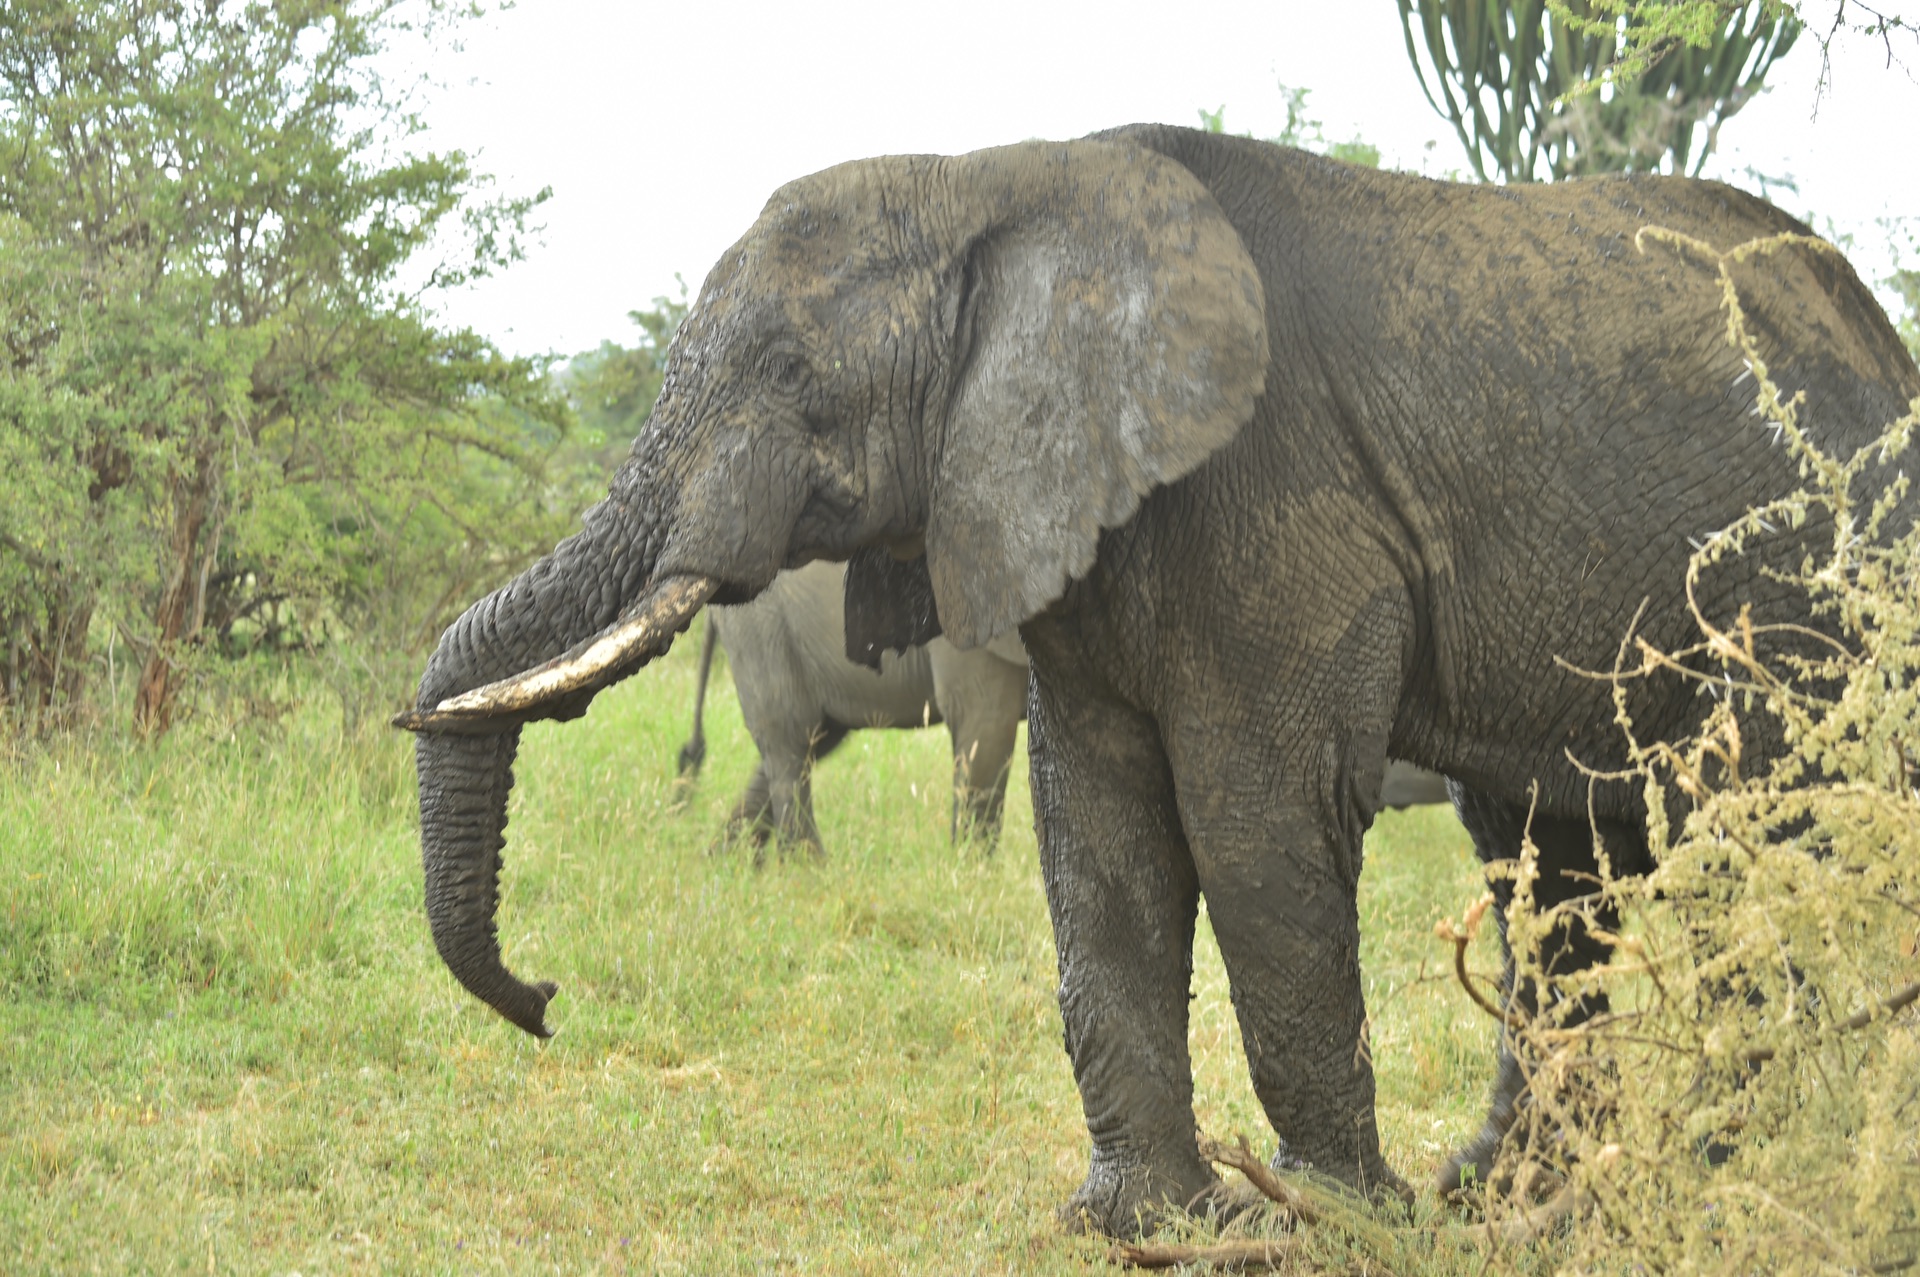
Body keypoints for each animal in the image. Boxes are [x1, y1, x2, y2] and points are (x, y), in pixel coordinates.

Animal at [679, 556, 1036, 844]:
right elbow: (985, 730)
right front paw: (970, 874)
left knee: (808, 745)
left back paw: (728, 863)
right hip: (763, 631)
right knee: (790, 748)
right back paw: (807, 873)